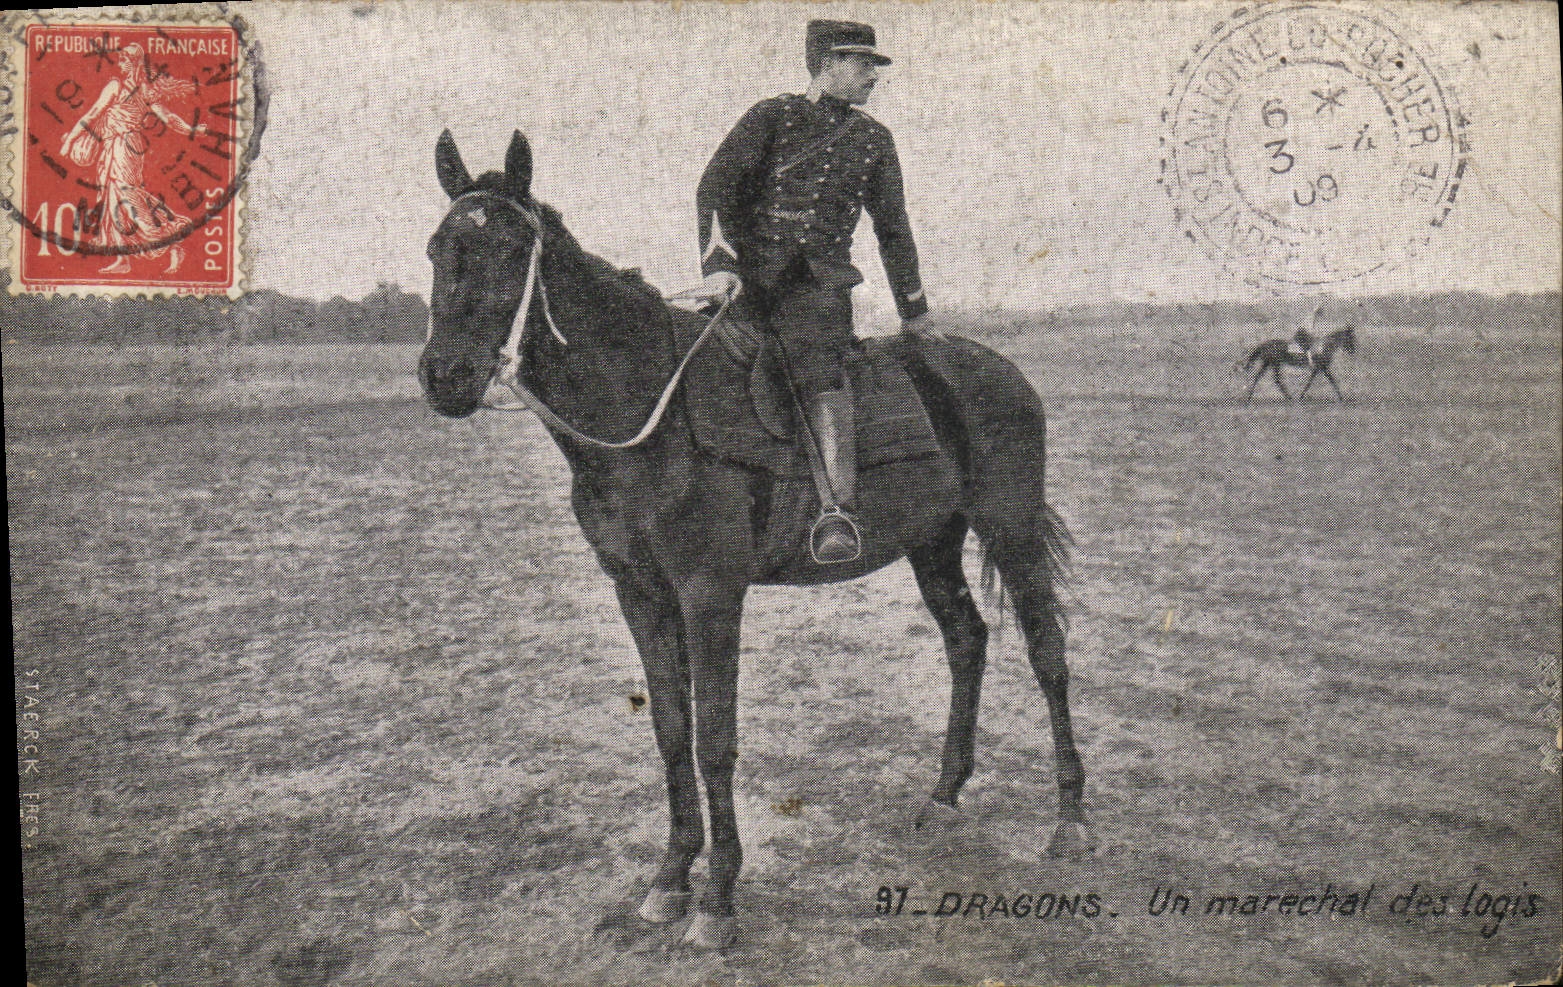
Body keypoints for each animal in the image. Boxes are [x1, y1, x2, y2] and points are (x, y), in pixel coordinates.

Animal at [417, 130, 1089, 949]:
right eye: (438, 248)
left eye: (513, 250)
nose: (446, 376)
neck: (649, 413)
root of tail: (999, 371)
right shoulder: (640, 593)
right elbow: (671, 729)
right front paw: (671, 876)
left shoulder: (711, 594)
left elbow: (714, 737)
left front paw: (717, 899)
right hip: (933, 541)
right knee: (967, 640)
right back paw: (943, 793)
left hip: (1009, 523)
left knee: (1046, 650)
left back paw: (1070, 819)